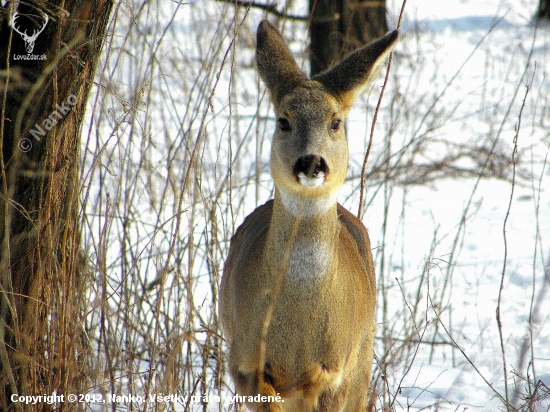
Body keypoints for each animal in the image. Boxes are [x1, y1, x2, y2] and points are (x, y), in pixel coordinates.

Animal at [221, 20, 402, 412]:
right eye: (283, 121)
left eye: (335, 122)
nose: (311, 162)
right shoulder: (245, 363)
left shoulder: (335, 373)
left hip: (363, 359)